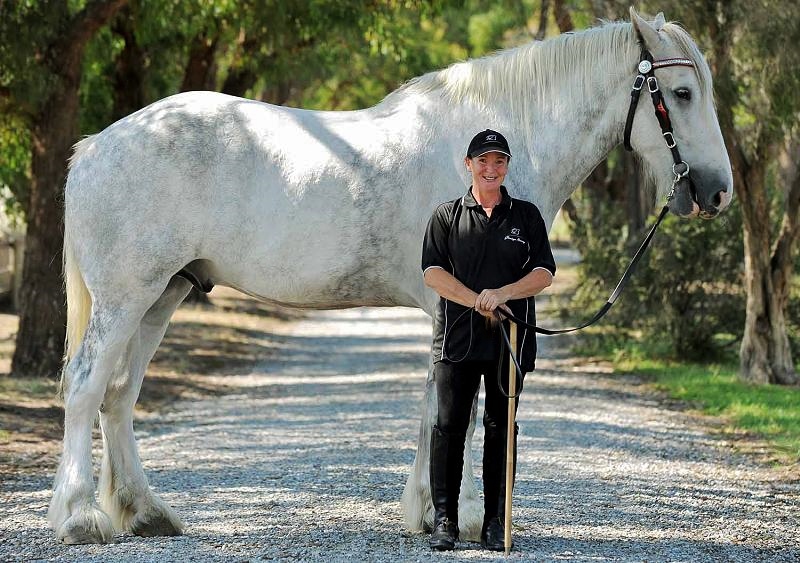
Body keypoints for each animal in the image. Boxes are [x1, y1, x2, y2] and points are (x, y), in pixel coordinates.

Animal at [49, 8, 732, 544]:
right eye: (684, 94)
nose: (718, 192)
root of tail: (96, 145)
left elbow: (438, 405)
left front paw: (430, 512)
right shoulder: (457, 307)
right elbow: (453, 408)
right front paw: (456, 516)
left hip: (162, 295)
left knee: (119, 397)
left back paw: (145, 514)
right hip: (126, 297)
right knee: (86, 387)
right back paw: (79, 518)